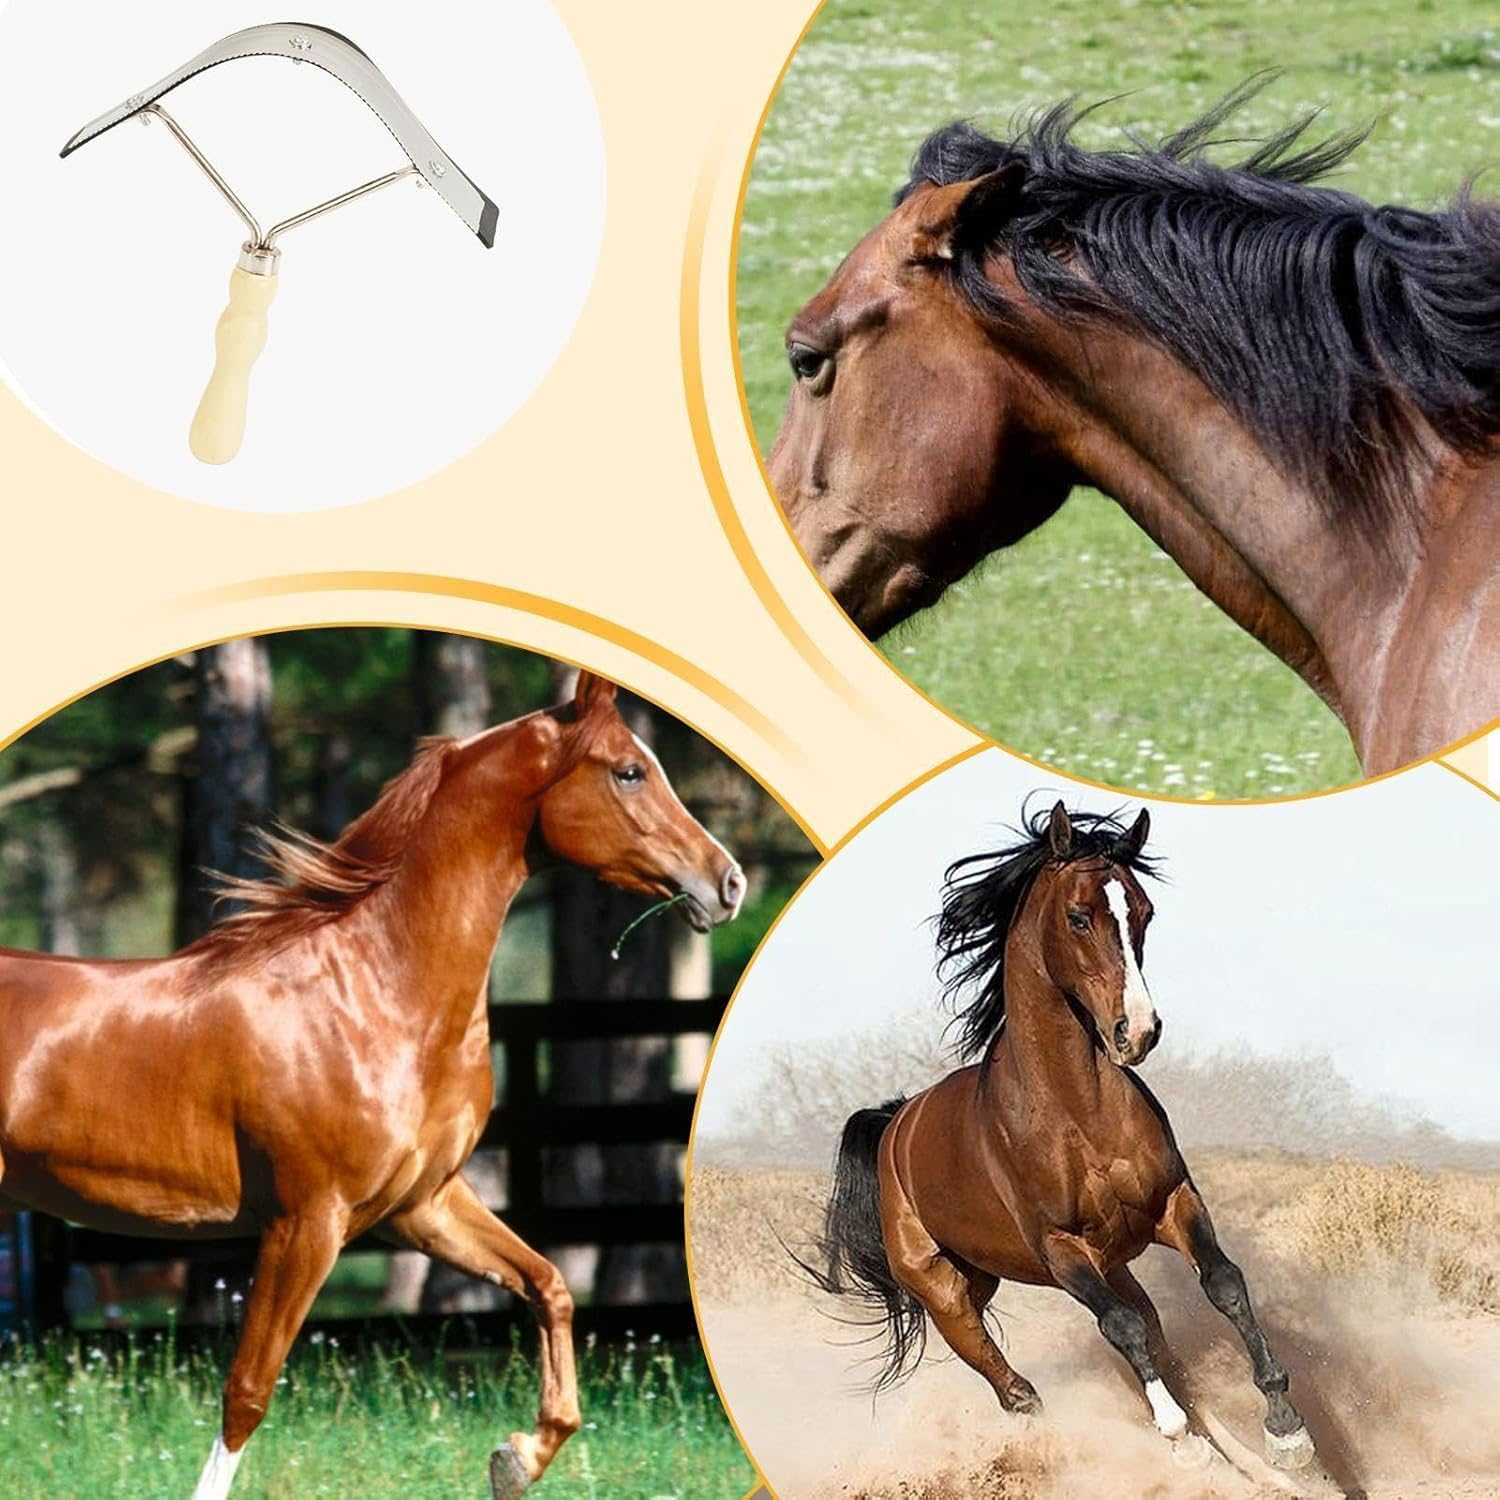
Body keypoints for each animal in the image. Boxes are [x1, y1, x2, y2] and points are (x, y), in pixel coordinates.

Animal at [0, 672, 746, 1500]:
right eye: (629, 771)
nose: (729, 883)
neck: (373, 990)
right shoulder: (305, 1223)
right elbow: (247, 1391)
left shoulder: (422, 1205)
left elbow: (549, 1286)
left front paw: (515, 1458)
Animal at [798, 801, 1317, 1476]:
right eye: (1078, 917)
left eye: (1144, 912)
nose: (1138, 1031)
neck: (1077, 1111)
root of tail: (896, 1124)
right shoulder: (1060, 1248)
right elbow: (1120, 1328)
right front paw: (1178, 1438)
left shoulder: (1174, 1202)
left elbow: (1223, 1284)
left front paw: (1286, 1430)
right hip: (947, 1293)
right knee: (1017, 1388)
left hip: (1084, 1266)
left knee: (1152, 1335)